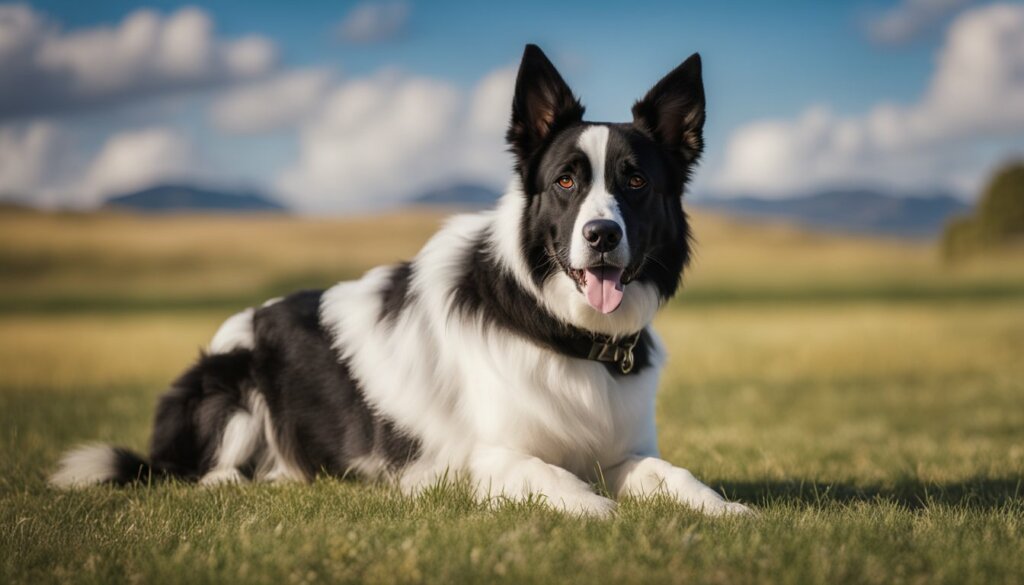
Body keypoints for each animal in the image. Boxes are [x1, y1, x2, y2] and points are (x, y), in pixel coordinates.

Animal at [48, 43, 749, 514]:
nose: (602, 236)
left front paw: (723, 508)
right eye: (567, 182)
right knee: (190, 468)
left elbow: (669, 472)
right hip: (231, 385)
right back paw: (234, 480)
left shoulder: (620, 452)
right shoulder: (477, 458)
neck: (562, 329)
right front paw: (597, 511)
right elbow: (550, 475)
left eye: (636, 181)